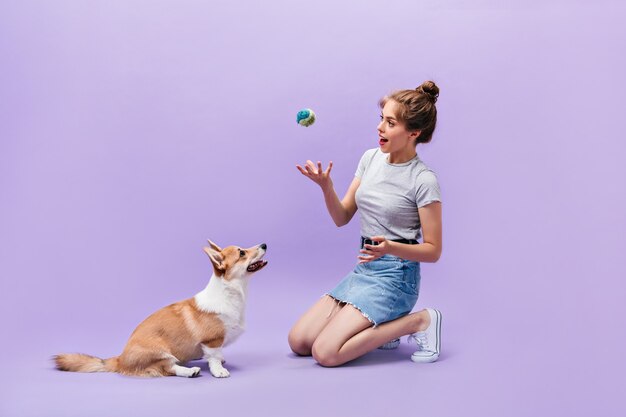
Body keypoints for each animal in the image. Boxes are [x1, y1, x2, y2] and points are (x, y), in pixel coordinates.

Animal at [53, 237, 266, 376]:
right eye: (242, 252)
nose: (264, 244)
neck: (230, 292)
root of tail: (120, 358)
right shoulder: (211, 341)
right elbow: (213, 356)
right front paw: (219, 370)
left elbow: (218, 354)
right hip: (160, 353)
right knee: (168, 367)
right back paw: (190, 371)